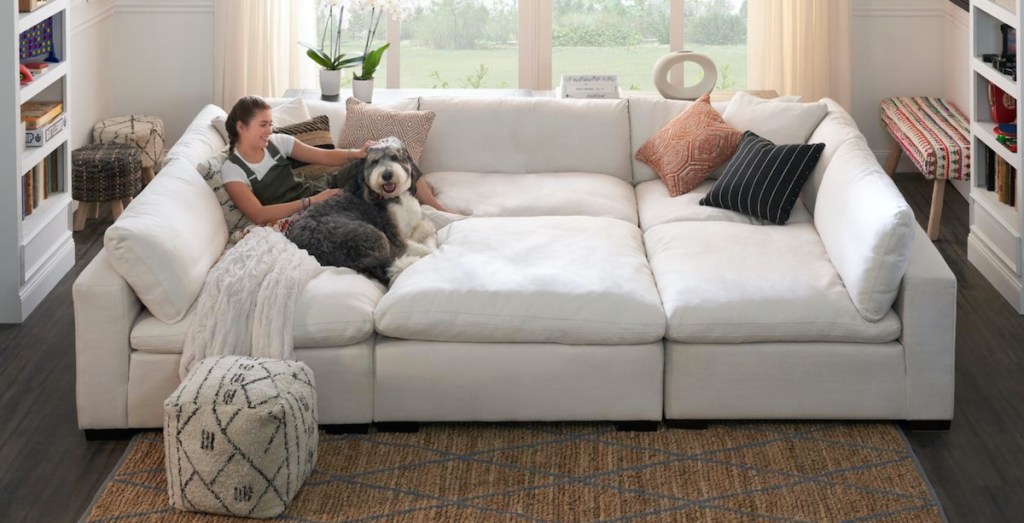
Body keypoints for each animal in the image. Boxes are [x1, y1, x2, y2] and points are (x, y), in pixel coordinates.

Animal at [284, 137, 436, 284]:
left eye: (394, 157)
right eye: (375, 162)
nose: (387, 175)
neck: (394, 196)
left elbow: (423, 227)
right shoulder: (394, 236)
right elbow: (411, 243)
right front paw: (427, 249)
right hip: (374, 235)